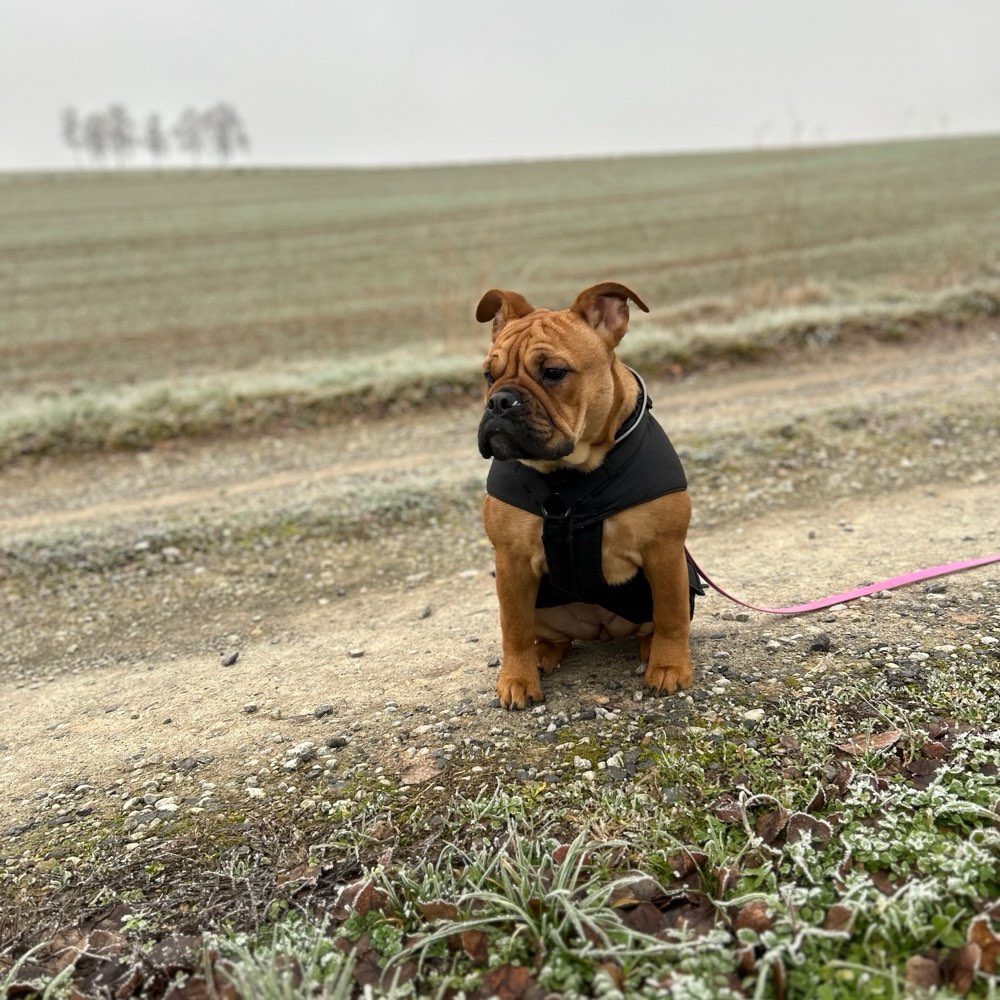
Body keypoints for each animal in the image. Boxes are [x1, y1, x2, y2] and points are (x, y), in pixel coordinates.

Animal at [476, 282, 696, 712]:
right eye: (489, 375)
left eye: (554, 373)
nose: (499, 400)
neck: (568, 478)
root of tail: (601, 628)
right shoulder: (511, 563)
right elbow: (513, 628)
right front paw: (516, 678)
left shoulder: (664, 551)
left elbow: (672, 616)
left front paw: (669, 667)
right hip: (543, 606)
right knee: (546, 635)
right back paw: (542, 653)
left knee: (655, 623)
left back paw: (649, 648)